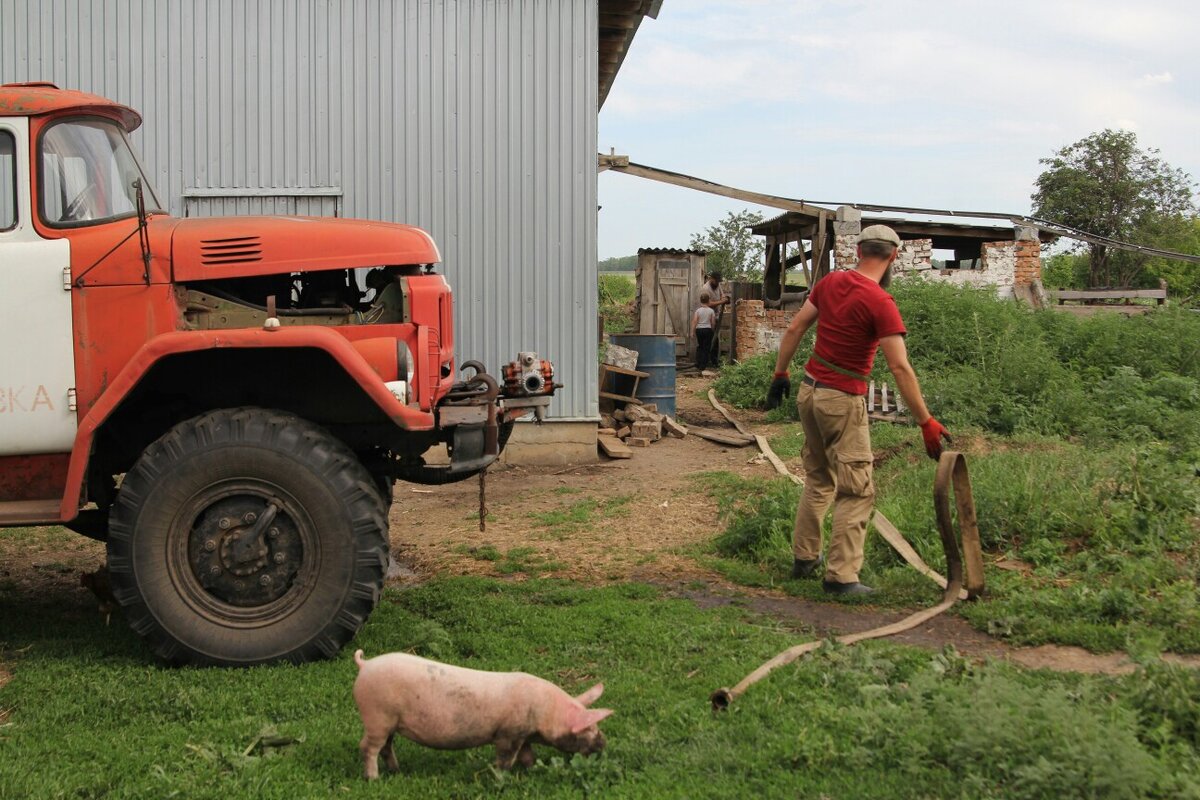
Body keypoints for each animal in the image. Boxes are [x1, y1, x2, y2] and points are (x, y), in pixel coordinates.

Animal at [348, 647, 609, 777]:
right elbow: (505, 758)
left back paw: (396, 771)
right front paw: (501, 777)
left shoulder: (523, 733)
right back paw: (373, 778)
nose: (604, 743)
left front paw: (531, 769)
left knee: (386, 747)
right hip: (377, 716)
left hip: (389, 721)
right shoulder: (508, 733)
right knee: (367, 747)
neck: (545, 712)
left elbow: (527, 755)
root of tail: (366, 665)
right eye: (589, 727)